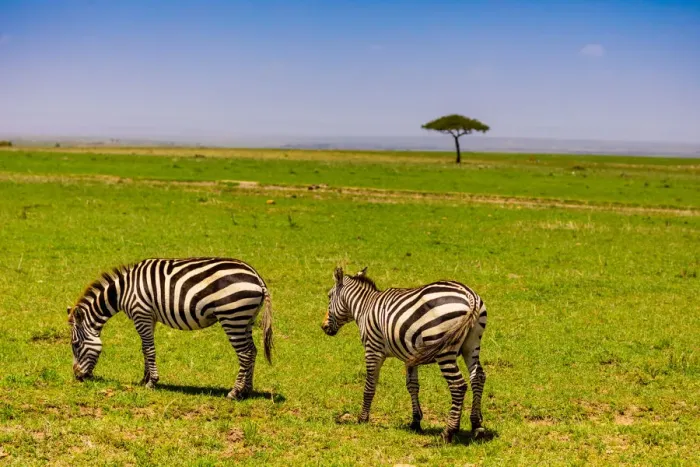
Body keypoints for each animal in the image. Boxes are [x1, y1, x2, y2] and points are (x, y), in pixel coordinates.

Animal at [67, 257, 273, 400]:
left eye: (75, 344)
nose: (77, 376)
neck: (122, 291)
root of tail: (257, 277)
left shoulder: (141, 313)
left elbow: (149, 349)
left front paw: (152, 382)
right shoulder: (150, 317)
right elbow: (144, 349)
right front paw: (144, 379)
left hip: (232, 316)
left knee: (245, 353)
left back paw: (234, 392)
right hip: (245, 319)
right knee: (253, 351)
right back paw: (247, 391)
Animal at [321, 266, 488, 442]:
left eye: (329, 296)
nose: (323, 326)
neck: (364, 307)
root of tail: (470, 295)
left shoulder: (372, 349)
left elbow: (370, 384)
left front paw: (362, 418)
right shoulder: (411, 356)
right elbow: (412, 385)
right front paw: (415, 422)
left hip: (445, 350)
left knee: (458, 385)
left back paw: (448, 432)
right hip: (472, 345)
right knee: (477, 377)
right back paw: (477, 425)